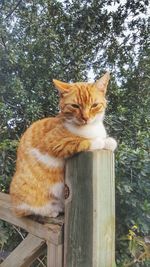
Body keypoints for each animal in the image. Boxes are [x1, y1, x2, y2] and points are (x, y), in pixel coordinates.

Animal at [9, 73, 117, 218]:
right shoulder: (55, 142)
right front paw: (99, 141)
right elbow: (82, 141)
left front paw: (109, 142)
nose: (86, 118)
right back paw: (51, 211)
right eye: (75, 106)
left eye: (94, 105)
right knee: (28, 210)